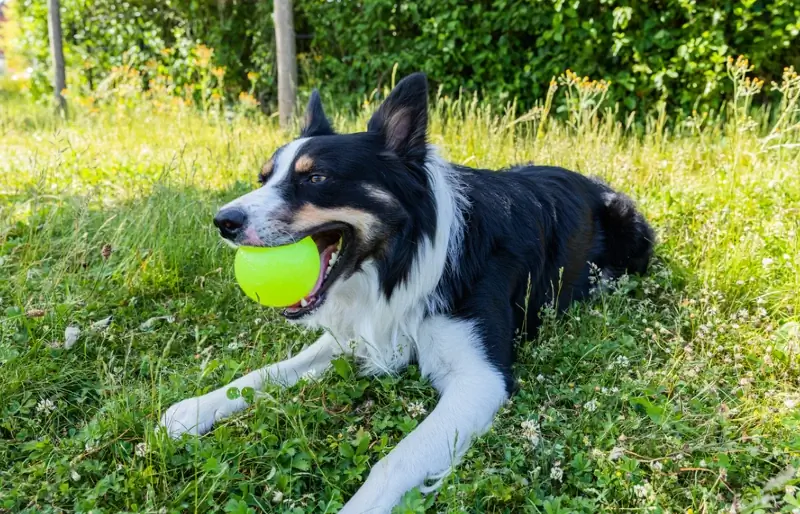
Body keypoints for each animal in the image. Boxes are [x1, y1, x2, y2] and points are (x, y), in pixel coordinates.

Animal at [159, 73, 652, 512]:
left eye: (316, 179)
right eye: (263, 178)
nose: (223, 221)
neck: (403, 256)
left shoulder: (480, 378)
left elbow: (394, 462)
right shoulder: (362, 332)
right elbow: (267, 372)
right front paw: (193, 410)